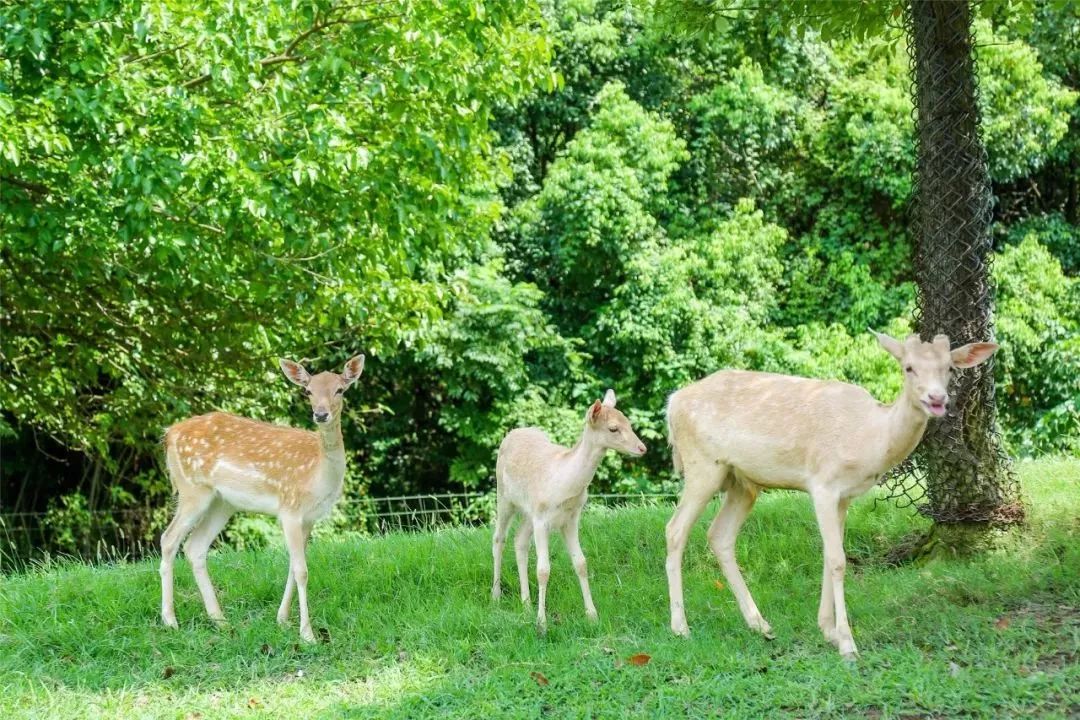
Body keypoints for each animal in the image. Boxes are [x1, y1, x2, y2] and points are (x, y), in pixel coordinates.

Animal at [157, 354, 365, 643]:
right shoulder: (289, 507)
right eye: (308, 391)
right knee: (168, 539)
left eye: (340, 389)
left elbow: (293, 566)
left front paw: (283, 620)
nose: (321, 414)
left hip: (222, 502)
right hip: (192, 489)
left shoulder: (309, 518)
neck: (317, 474)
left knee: (194, 546)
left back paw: (220, 621)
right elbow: (302, 570)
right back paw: (170, 621)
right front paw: (307, 634)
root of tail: (169, 434)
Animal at [494, 390, 643, 634]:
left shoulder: (571, 518)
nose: (642, 448)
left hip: (528, 512)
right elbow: (543, 569)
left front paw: (592, 616)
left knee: (519, 540)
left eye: (629, 423)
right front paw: (542, 624)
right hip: (504, 496)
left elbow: (581, 563)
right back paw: (496, 597)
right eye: (613, 428)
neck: (565, 486)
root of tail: (513, 433)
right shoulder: (542, 518)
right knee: (499, 539)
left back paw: (526, 604)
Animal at [660, 332, 997, 660]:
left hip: (742, 483)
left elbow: (827, 554)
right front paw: (847, 644)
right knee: (675, 529)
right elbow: (837, 559)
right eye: (908, 367)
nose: (937, 399)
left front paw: (828, 631)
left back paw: (760, 624)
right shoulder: (822, 484)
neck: (869, 440)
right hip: (702, 466)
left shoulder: (845, 496)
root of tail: (672, 402)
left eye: (949, 368)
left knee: (719, 535)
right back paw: (680, 627)